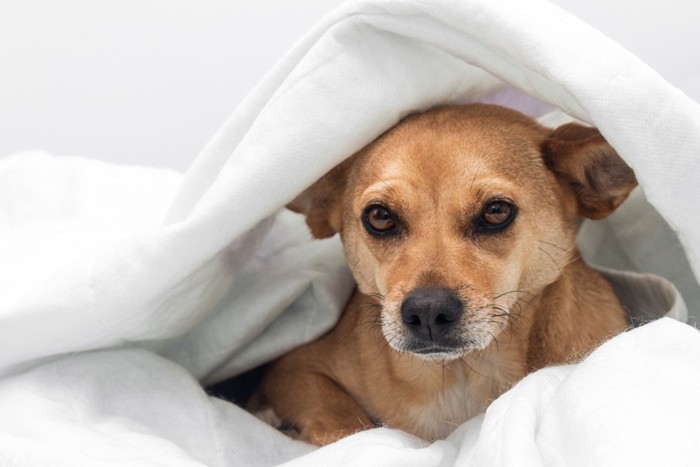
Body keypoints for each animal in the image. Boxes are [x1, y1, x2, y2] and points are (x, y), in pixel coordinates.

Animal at [249, 104, 636, 448]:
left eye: (496, 211)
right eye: (380, 217)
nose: (427, 311)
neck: (460, 375)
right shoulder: (295, 368)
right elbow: (347, 424)